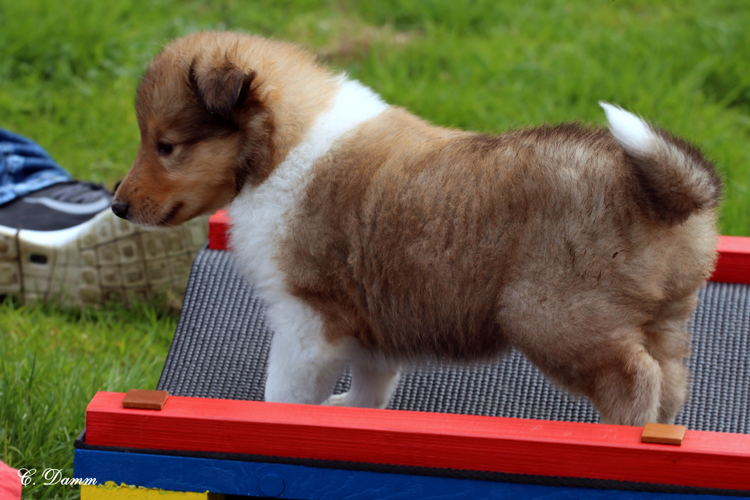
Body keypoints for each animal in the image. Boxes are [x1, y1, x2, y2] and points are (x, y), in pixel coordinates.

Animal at [113, 31, 721, 426]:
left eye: (167, 145)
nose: (117, 206)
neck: (283, 148)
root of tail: (664, 193)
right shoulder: (369, 313)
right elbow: (372, 380)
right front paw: (348, 412)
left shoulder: (305, 316)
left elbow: (284, 387)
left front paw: (278, 419)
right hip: (666, 318)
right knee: (670, 379)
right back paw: (661, 435)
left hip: (555, 315)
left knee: (633, 380)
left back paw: (617, 436)